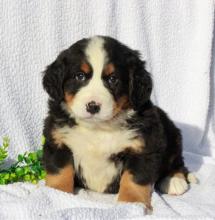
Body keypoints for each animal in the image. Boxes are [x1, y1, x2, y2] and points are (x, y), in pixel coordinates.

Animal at [42, 35, 197, 211]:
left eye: (112, 79)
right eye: (80, 76)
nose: (93, 106)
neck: (98, 128)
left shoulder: (143, 147)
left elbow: (134, 179)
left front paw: (132, 203)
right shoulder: (58, 141)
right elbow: (60, 172)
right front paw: (56, 195)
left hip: (173, 136)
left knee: (177, 162)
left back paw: (174, 180)